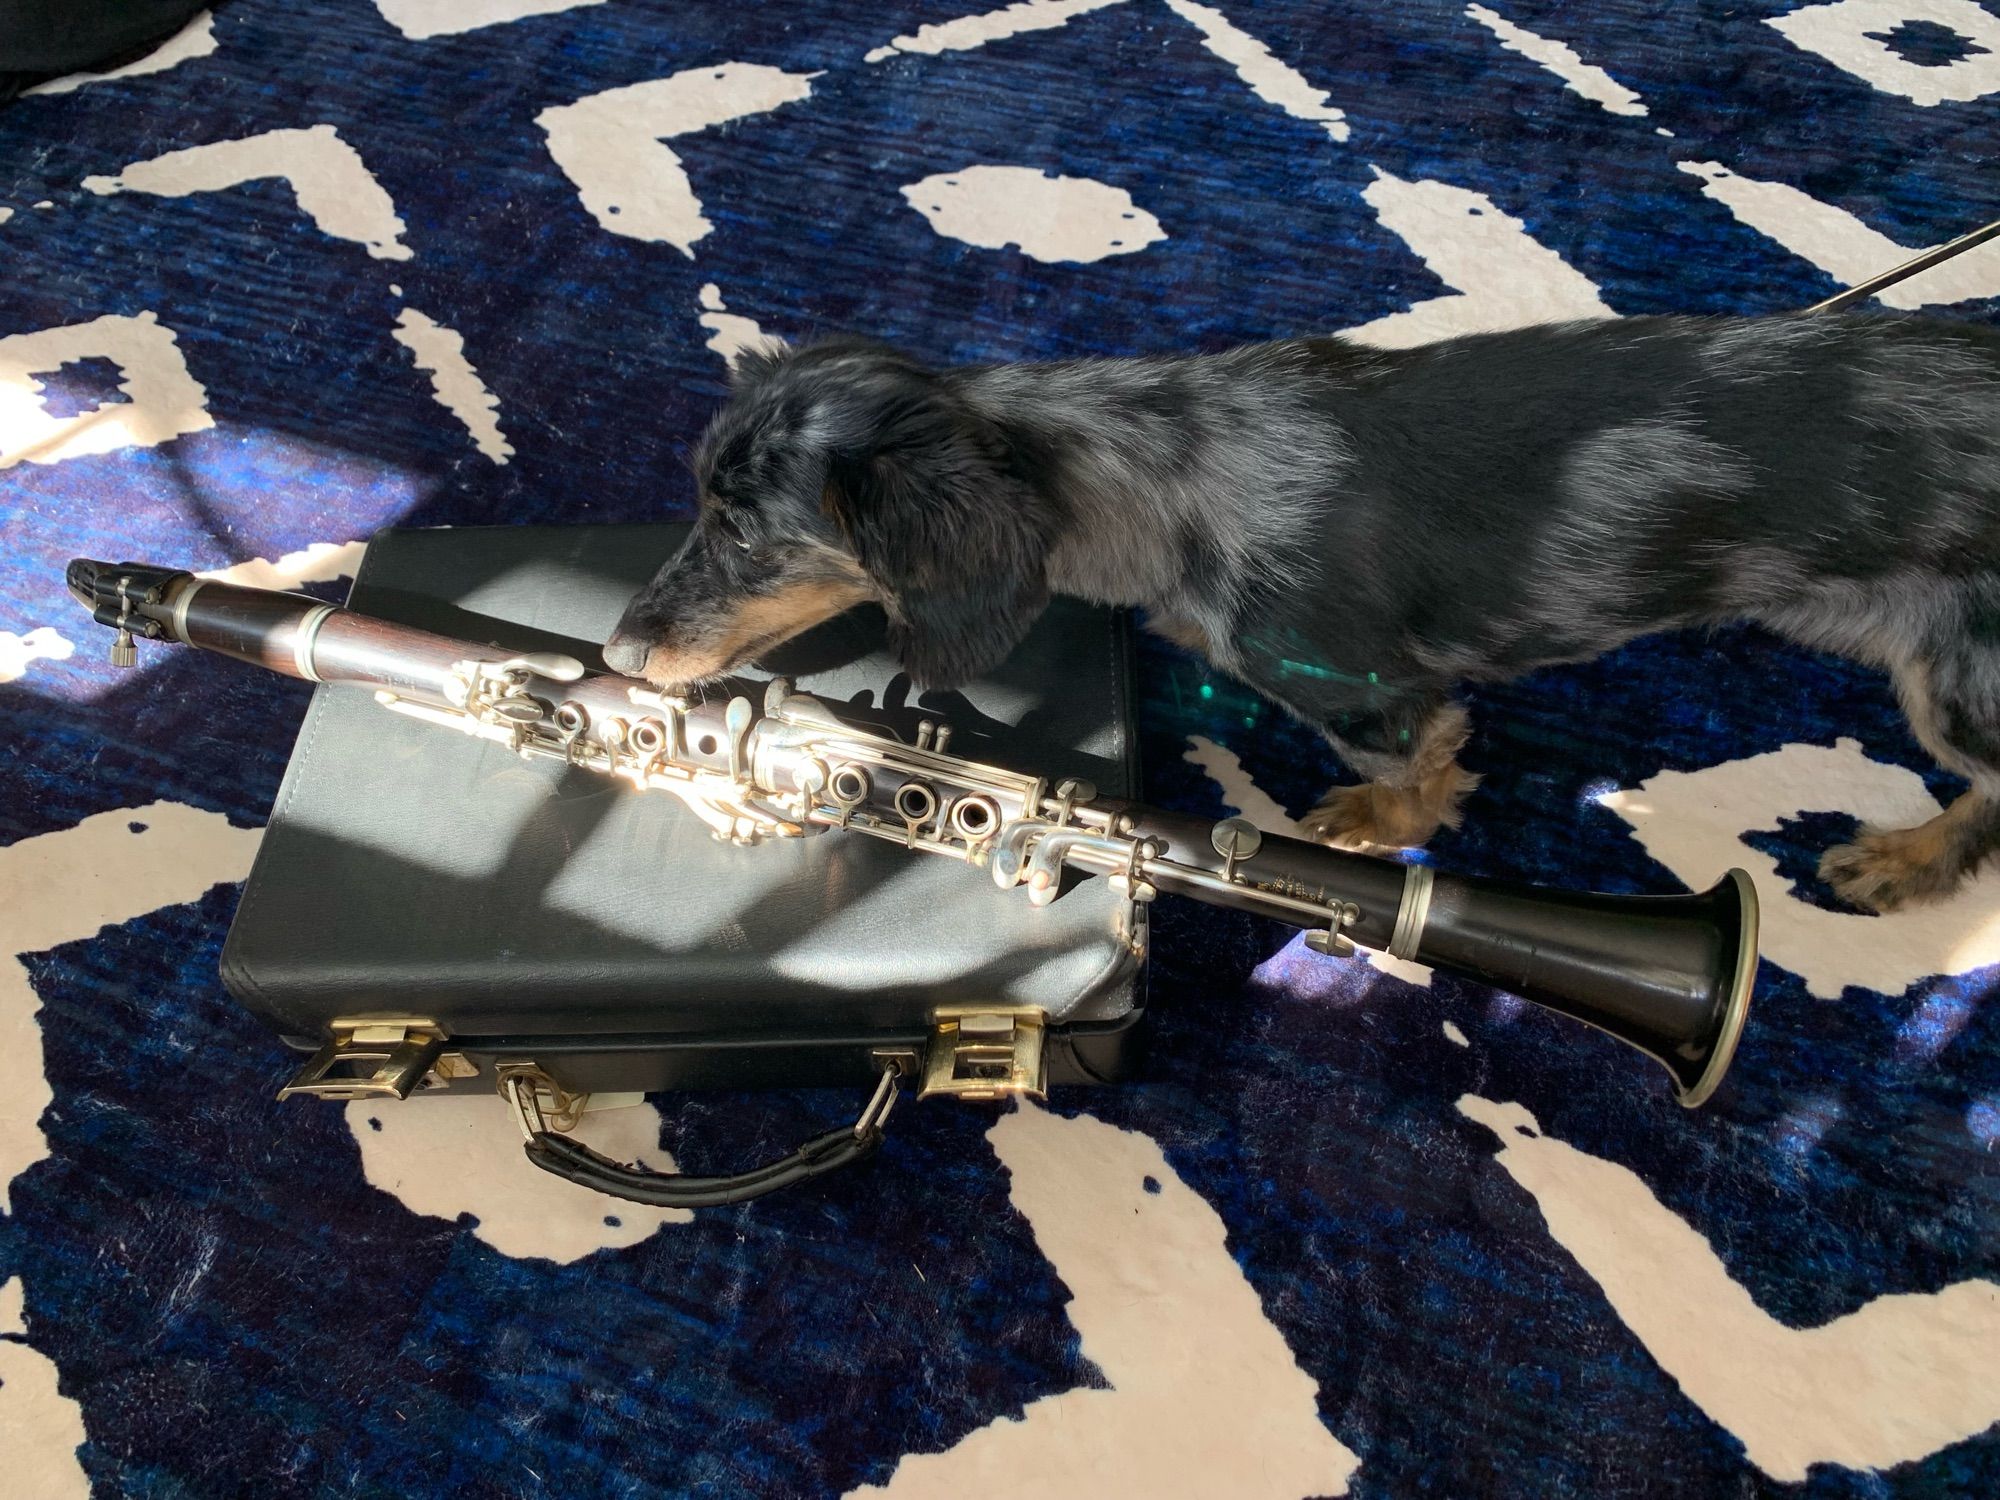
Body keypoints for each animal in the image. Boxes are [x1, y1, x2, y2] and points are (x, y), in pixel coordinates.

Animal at [604, 318, 2000, 916]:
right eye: (694, 500)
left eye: (743, 532)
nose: (616, 649)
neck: (1164, 467)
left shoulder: (1379, 701)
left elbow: (1417, 776)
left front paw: (1375, 831)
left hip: (1954, 676)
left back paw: (1903, 861)